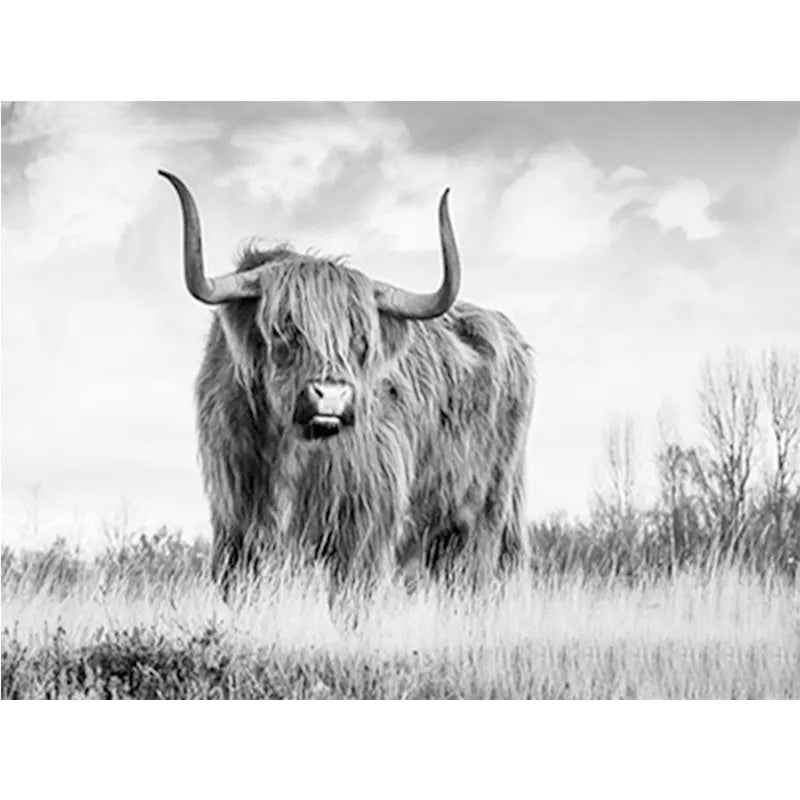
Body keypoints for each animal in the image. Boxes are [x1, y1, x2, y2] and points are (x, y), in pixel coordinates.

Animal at [159, 170, 535, 602]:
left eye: (360, 338)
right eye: (285, 329)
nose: (332, 396)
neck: (290, 452)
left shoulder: (364, 527)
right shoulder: (234, 526)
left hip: (484, 518)